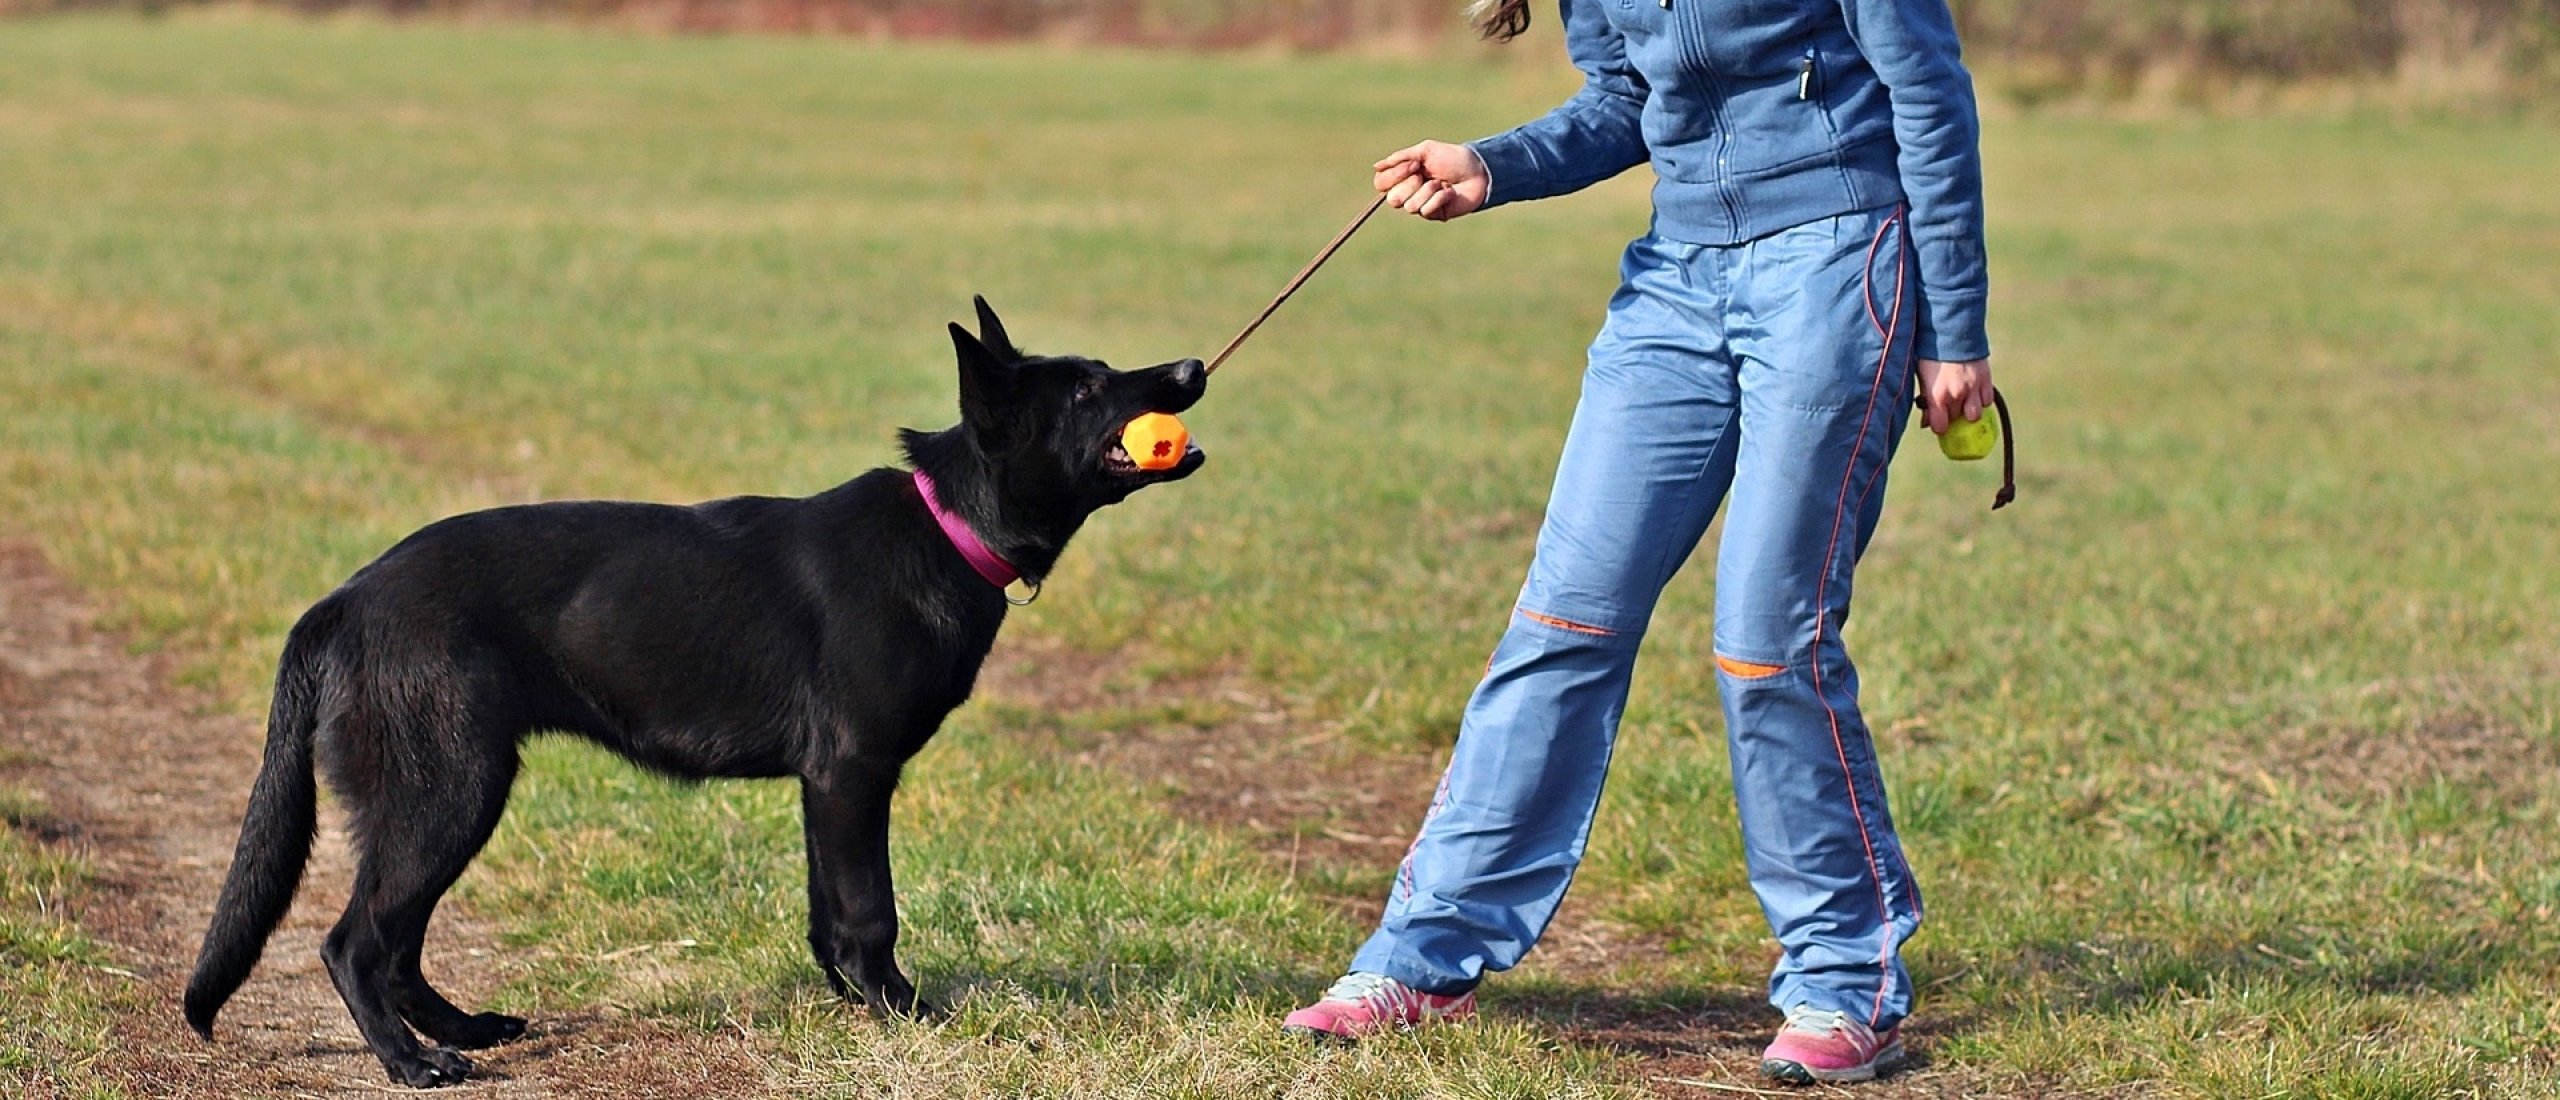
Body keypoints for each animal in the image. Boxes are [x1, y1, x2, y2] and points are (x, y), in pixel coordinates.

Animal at [185, 296, 1203, 1084]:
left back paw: (463, 1030)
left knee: (395, 945)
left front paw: (854, 1006)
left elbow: (829, 917)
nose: (1193, 366)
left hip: (446, 799)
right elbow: (870, 911)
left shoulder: (825, 789)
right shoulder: (854, 775)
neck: (948, 523)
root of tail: (345, 600)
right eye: (1086, 390)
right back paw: (411, 1063)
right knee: (355, 942)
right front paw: (906, 1014)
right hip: (449, 794)